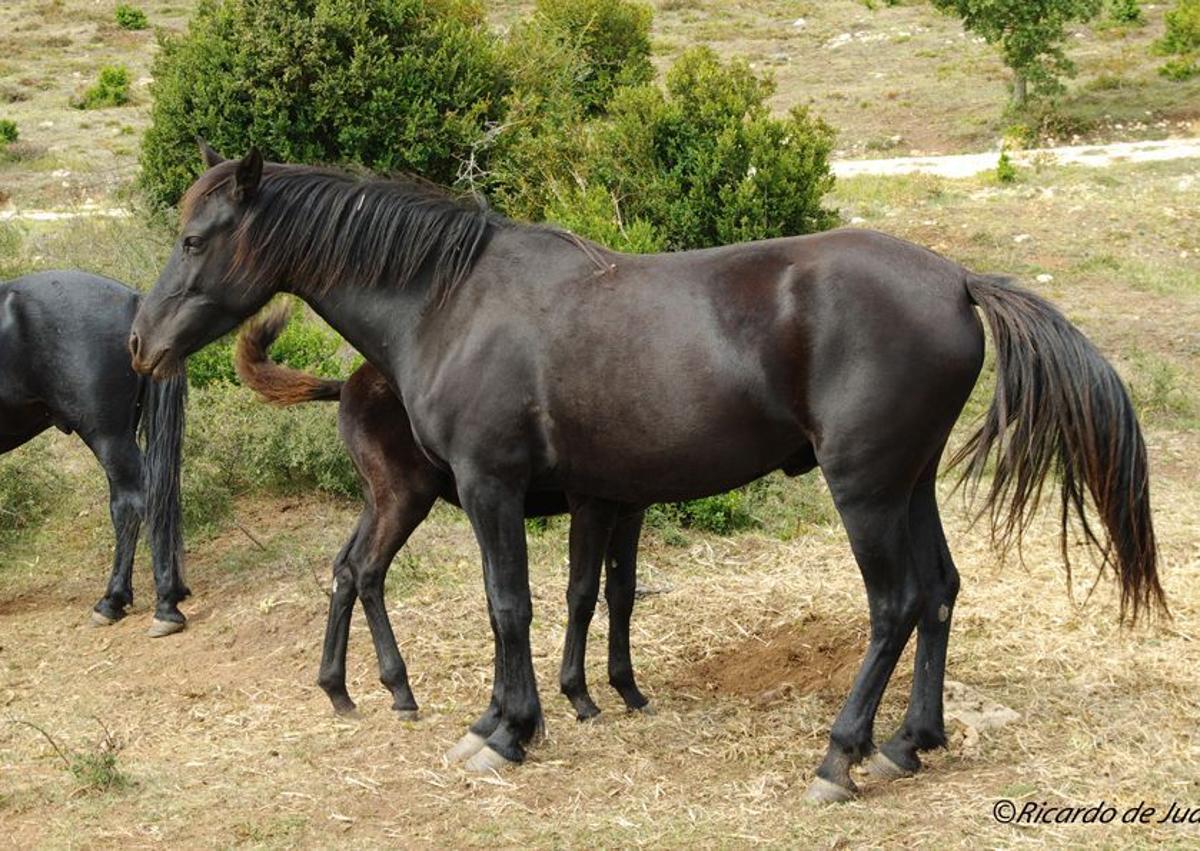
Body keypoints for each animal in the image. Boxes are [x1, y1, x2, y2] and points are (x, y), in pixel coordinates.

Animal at [1, 268, 188, 633]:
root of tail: (135, 301)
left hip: (106, 436)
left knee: (141, 499)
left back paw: (164, 604)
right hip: (117, 437)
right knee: (126, 505)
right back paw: (113, 601)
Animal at [230, 307, 652, 724]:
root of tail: (348, 385)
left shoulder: (630, 511)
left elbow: (621, 592)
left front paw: (628, 688)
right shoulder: (591, 505)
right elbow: (581, 594)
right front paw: (580, 695)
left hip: (377, 501)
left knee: (344, 568)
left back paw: (338, 690)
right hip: (404, 499)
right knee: (367, 569)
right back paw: (399, 688)